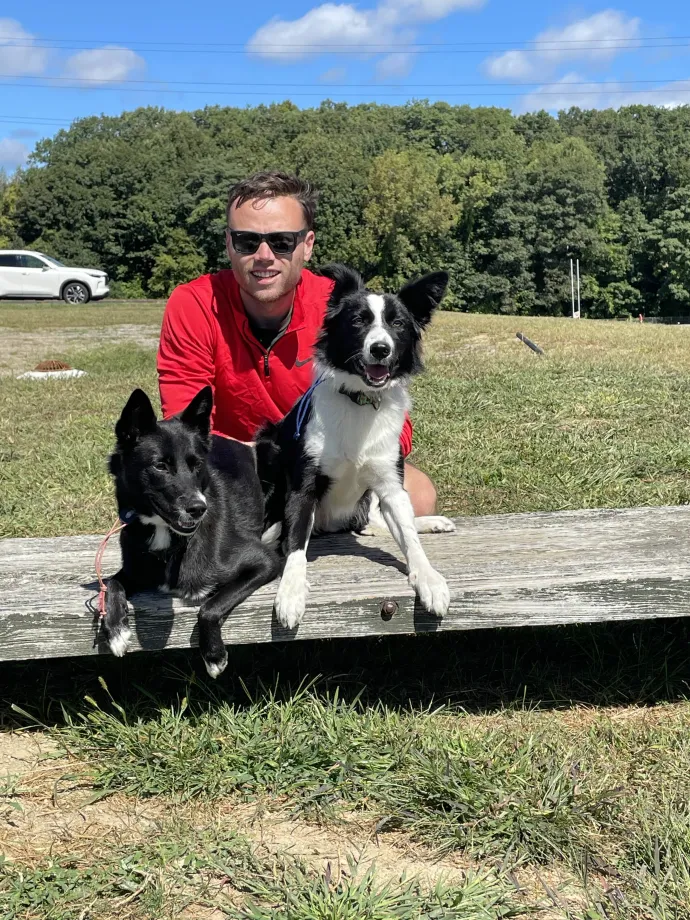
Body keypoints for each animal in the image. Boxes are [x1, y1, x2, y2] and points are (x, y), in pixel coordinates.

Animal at [104, 384, 280, 680]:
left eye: (197, 464)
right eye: (160, 466)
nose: (199, 508)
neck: (168, 537)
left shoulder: (265, 562)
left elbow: (210, 605)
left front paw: (214, 655)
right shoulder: (133, 571)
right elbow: (111, 585)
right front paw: (116, 630)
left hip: (271, 450)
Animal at [255, 262, 454, 628]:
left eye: (397, 324)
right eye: (358, 320)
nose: (380, 349)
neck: (360, 400)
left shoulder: (390, 485)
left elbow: (409, 537)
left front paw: (429, 578)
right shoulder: (303, 487)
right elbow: (295, 544)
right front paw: (290, 591)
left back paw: (430, 522)